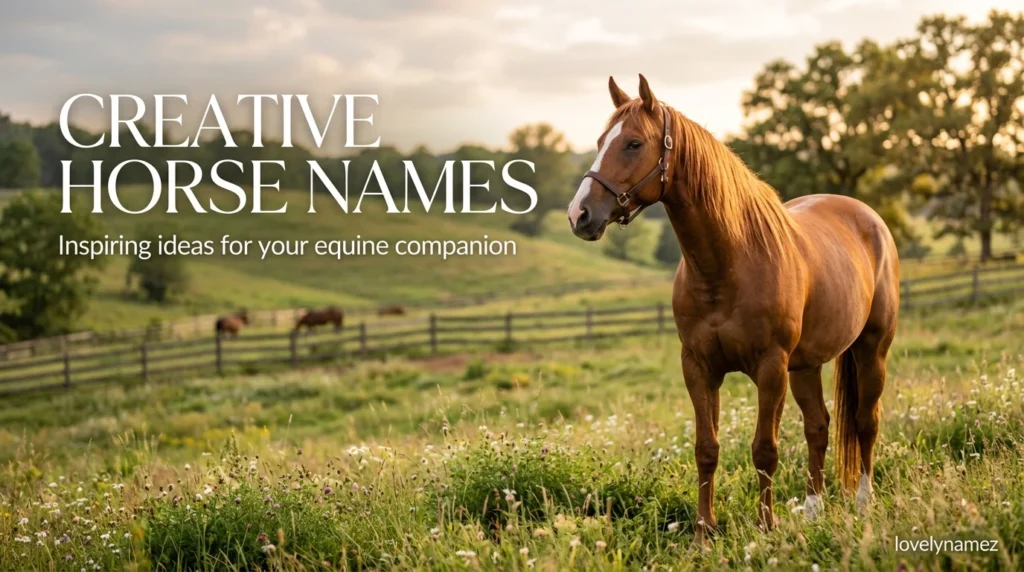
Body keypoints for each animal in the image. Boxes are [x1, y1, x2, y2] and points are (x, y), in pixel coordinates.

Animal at [567, 75, 899, 542]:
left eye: (633, 143)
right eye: (599, 142)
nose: (579, 214)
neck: (727, 264)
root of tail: (868, 217)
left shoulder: (770, 368)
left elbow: (765, 449)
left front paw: (765, 525)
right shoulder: (699, 367)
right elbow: (706, 448)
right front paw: (704, 530)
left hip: (872, 349)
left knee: (866, 421)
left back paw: (864, 503)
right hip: (806, 365)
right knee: (818, 427)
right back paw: (813, 511)